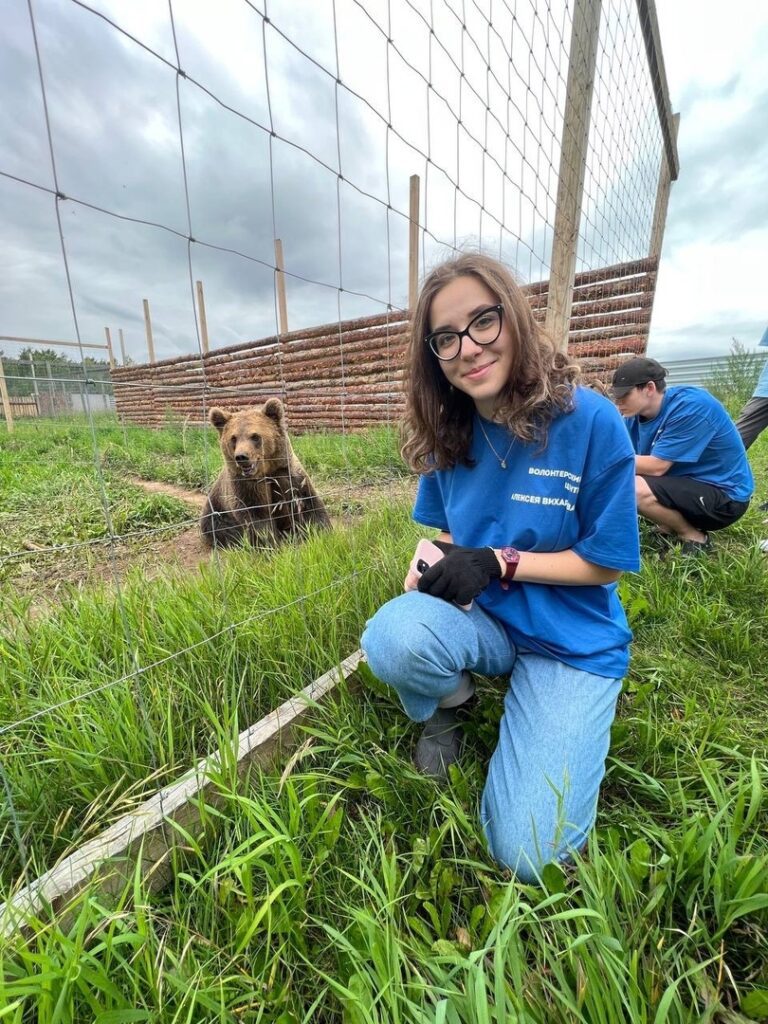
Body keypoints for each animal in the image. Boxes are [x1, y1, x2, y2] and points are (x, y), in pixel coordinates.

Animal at [199, 395, 329, 548]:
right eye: (233, 438)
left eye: (255, 436)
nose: (241, 457)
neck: (267, 471)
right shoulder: (246, 487)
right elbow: (258, 520)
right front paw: (272, 545)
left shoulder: (288, 474)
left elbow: (310, 505)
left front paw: (323, 533)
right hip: (216, 512)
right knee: (225, 530)